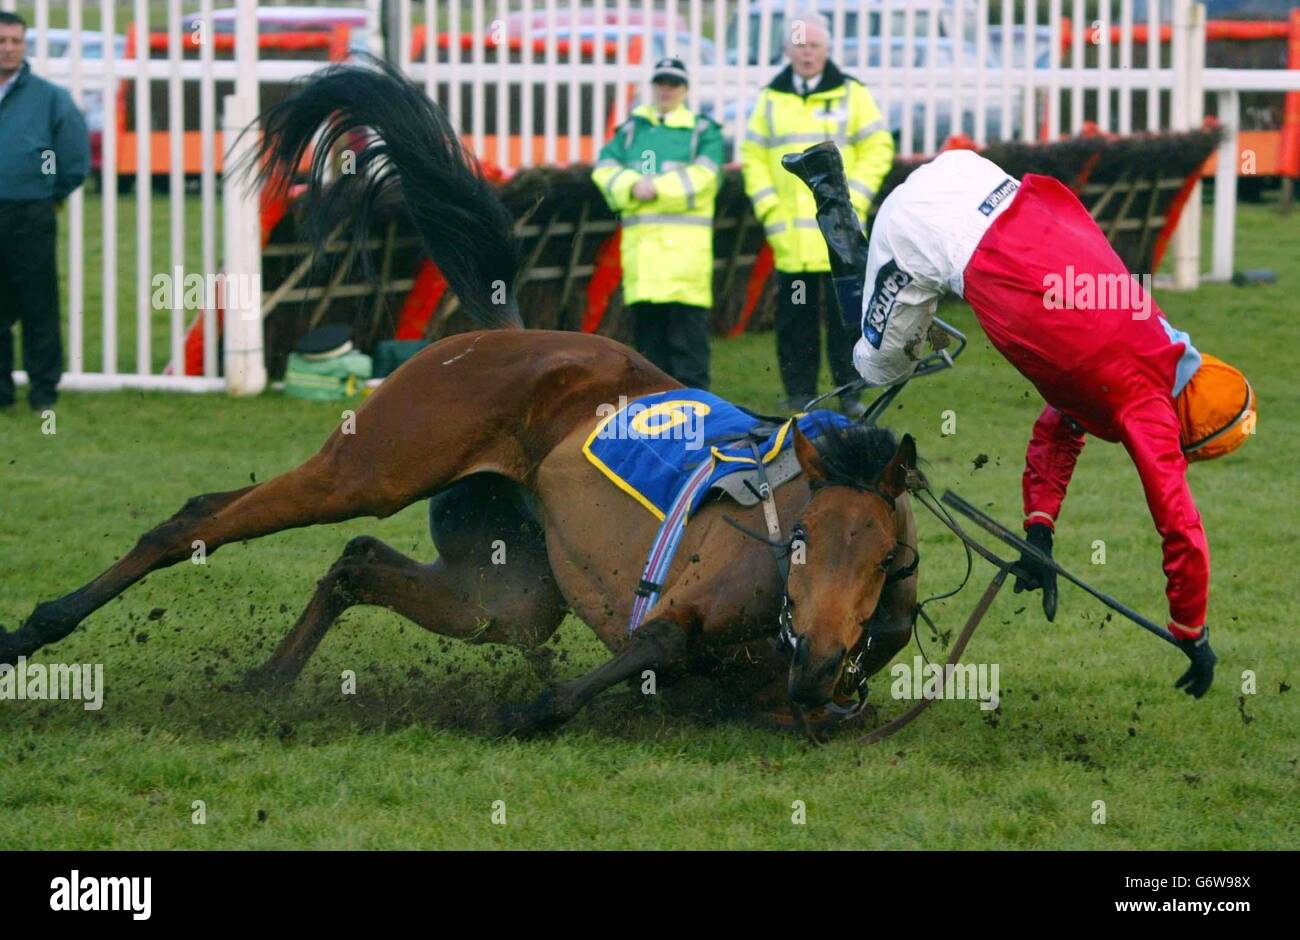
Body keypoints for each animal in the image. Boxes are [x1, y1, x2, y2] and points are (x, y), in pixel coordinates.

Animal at [0, 60, 920, 733]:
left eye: (881, 558)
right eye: (800, 540)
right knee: (199, 517)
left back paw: (267, 679)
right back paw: (35, 627)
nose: (817, 657)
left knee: (363, 563)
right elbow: (639, 651)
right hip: (376, 462)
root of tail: (513, 331)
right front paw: (525, 711)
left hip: (503, 584)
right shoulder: (682, 611)